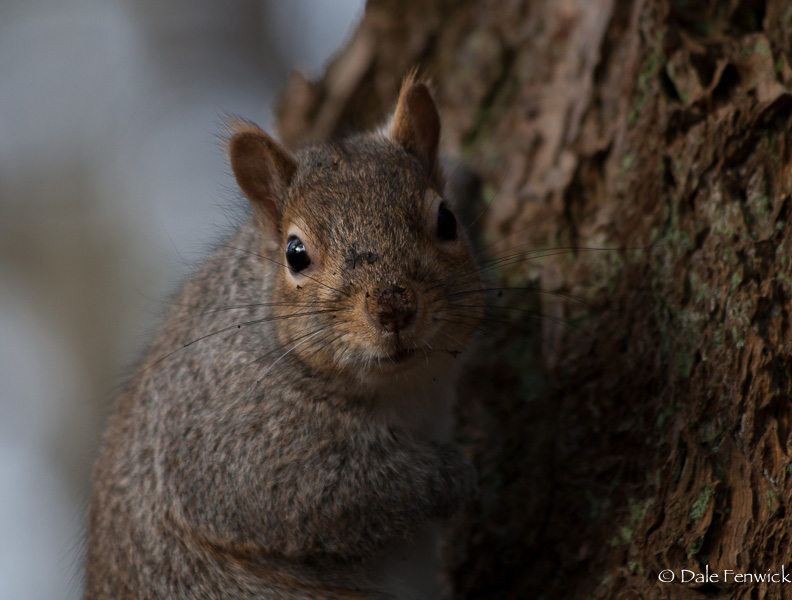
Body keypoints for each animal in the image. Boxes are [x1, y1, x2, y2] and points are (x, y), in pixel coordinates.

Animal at [85, 77, 482, 596]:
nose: (394, 308)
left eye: (446, 221)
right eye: (295, 253)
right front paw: (453, 475)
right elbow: (316, 497)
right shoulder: (232, 439)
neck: (406, 391)